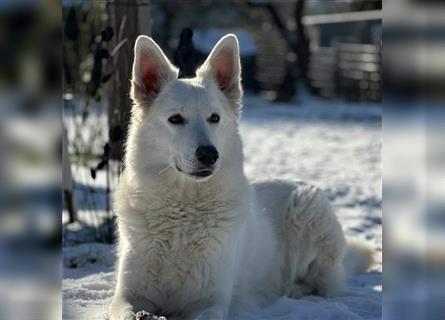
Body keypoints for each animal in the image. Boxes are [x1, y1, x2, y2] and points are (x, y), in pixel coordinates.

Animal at [110, 33, 372, 318]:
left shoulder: (210, 302)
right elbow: (128, 310)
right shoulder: (127, 296)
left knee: (324, 284)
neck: (183, 211)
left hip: (306, 210)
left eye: (214, 118)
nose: (209, 154)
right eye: (176, 119)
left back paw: (290, 290)